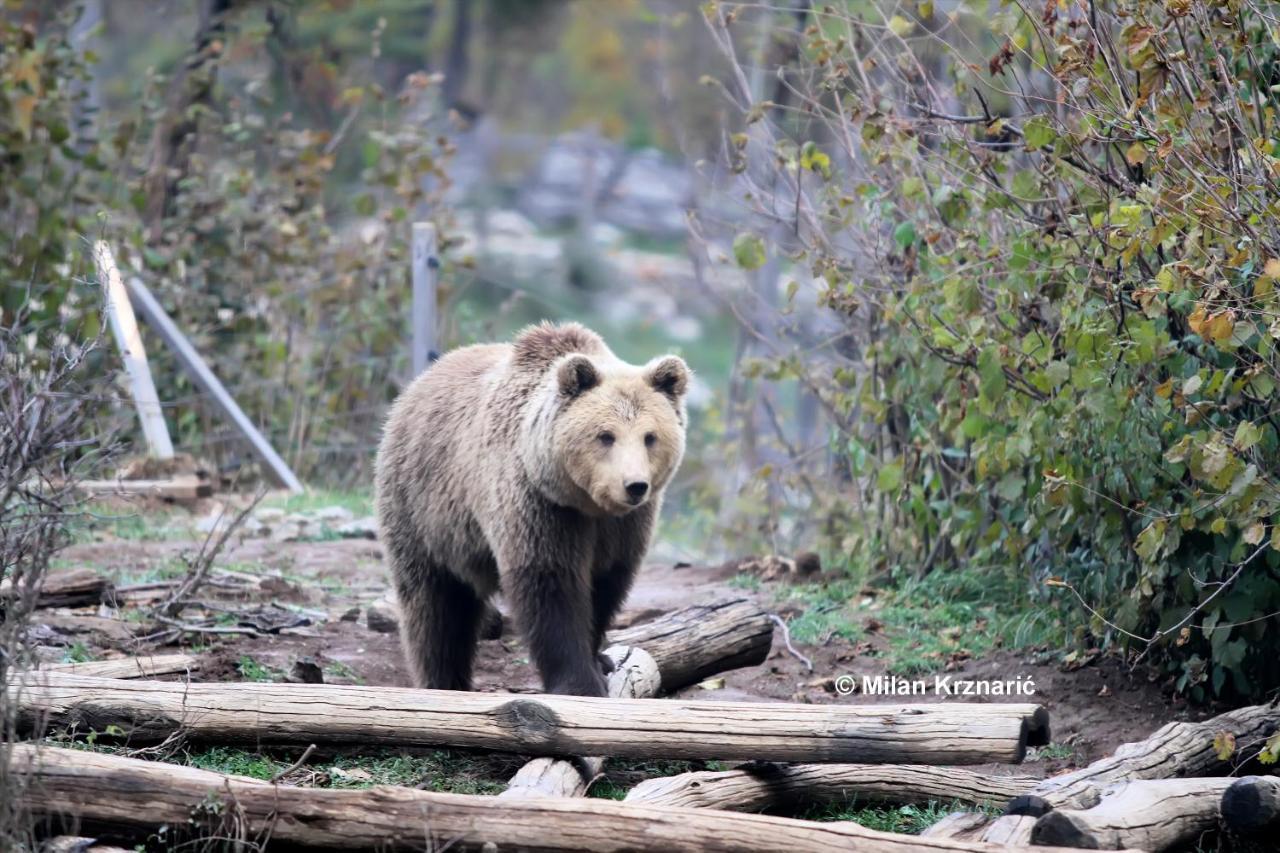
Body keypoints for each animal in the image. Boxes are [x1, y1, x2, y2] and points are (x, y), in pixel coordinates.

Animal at [373, 322, 691, 696]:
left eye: (650, 436)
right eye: (606, 435)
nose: (634, 485)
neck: (586, 502)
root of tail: (417, 384)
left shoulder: (624, 526)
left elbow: (606, 584)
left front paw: (600, 660)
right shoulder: (538, 504)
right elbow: (550, 585)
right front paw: (579, 682)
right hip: (422, 508)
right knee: (436, 606)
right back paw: (443, 680)